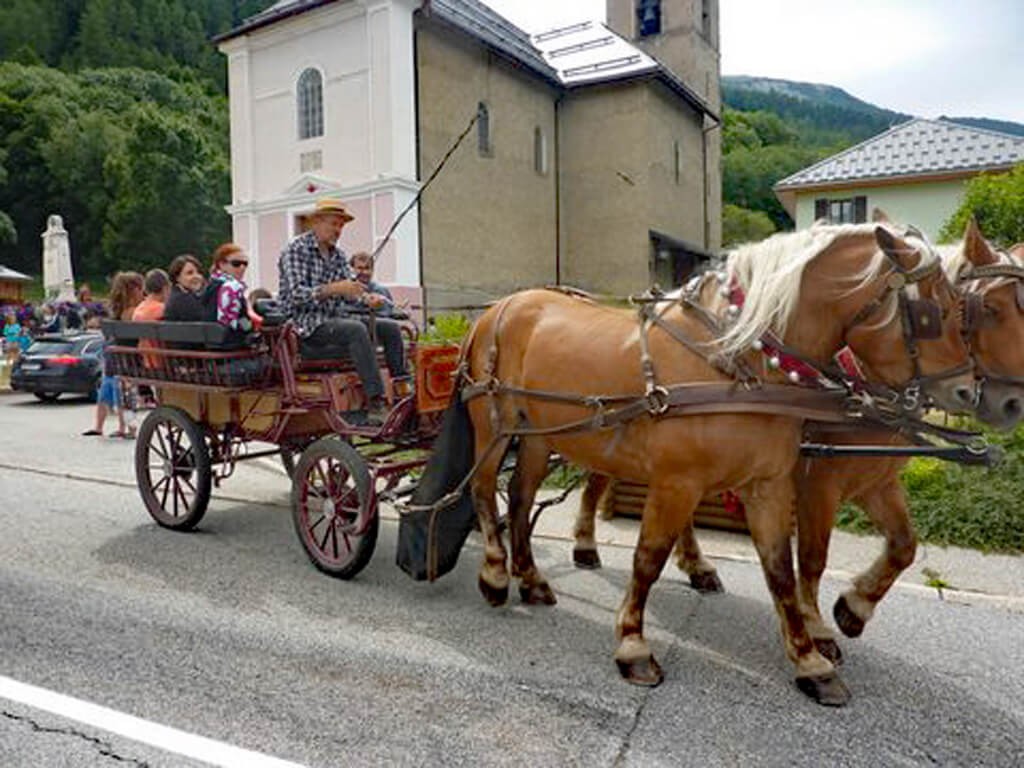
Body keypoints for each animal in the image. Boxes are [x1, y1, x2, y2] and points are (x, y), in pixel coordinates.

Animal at [458, 221, 974, 704]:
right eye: (933, 312)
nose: (966, 390)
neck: (737, 363)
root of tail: (497, 309)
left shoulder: (767, 485)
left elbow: (780, 571)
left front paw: (810, 661)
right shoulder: (677, 483)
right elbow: (648, 559)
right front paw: (633, 646)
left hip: (538, 438)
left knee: (520, 498)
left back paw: (530, 578)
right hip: (493, 425)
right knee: (484, 490)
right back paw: (495, 574)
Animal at [573, 218, 1024, 667]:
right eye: (987, 309)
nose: (1009, 403)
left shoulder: (876, 481)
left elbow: (903, 546)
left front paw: (854, 608)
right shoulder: (818, 482)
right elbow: (812, 557)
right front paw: (817, 627)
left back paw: (696, 565)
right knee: (597, 480)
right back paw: (585, 545)